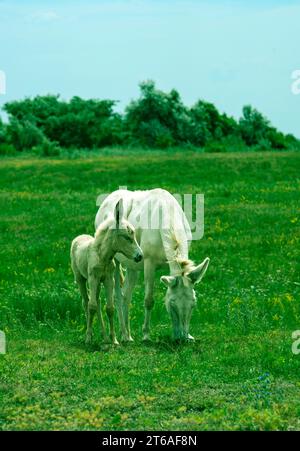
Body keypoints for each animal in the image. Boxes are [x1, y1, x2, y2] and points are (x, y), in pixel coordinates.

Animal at [70, 201, 143, 346]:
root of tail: (78, 237)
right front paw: (88, 338)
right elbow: (91, 306)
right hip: (81, 279)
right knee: (87, 302)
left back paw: (104, 337)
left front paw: (114, 340)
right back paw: (92, 335)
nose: (139, 256)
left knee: (97, 301)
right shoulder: (93, 278)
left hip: (98, 283)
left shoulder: (108, 279)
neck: (102, 256)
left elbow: (109, 308)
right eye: (127, 237)